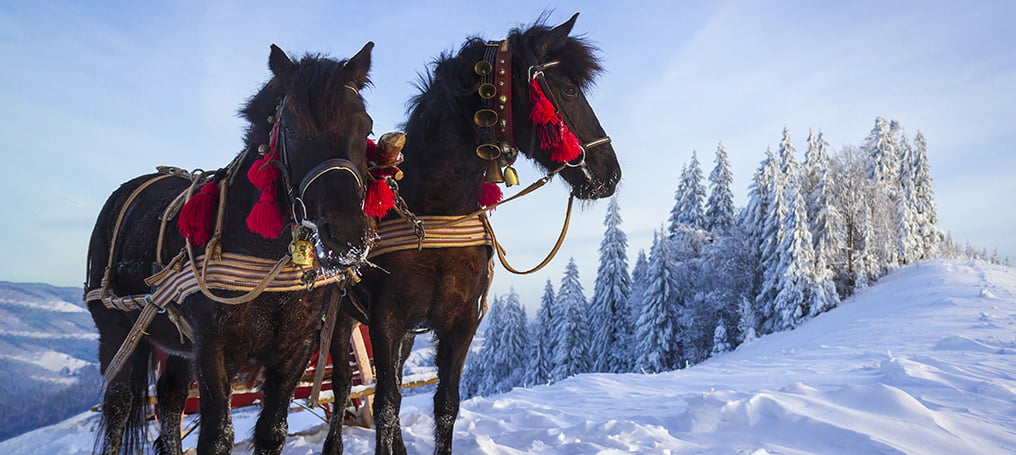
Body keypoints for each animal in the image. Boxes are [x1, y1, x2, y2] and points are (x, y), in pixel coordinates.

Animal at [84, 43, 377, 455]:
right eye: (290, 128)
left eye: (365, 126)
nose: (348, 236)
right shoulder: (213, 349)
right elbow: (216, 437)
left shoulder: (295, 347)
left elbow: (272, 431)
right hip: (115, 328)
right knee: (119, 405)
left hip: (178, 344)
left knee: (170, 398)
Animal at [325, 13, 617, 450]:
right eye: (567, 89)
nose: (610, 173)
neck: (437, 211)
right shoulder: (384, 318)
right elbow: (385, 405)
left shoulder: (461, 321)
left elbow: (445, 404)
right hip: (344, 322)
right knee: (345, 387)